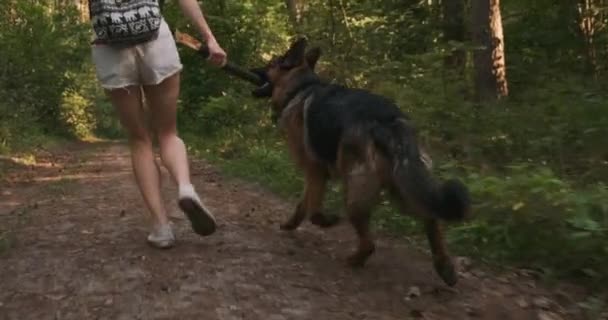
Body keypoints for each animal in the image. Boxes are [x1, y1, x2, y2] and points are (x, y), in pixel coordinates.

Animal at [249, 38, 472, 288]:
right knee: (431, 219)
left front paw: (324, 221)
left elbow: (313, 208)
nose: (250, 68)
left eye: (271, 63)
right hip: (404, 189)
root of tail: (390, 122)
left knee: (370, 243)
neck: (301, 86)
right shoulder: (315, 174)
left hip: (355, 194)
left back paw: (354, 260)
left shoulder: (314, 169)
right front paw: (291, 224)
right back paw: (445, 267)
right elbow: (303, 204)